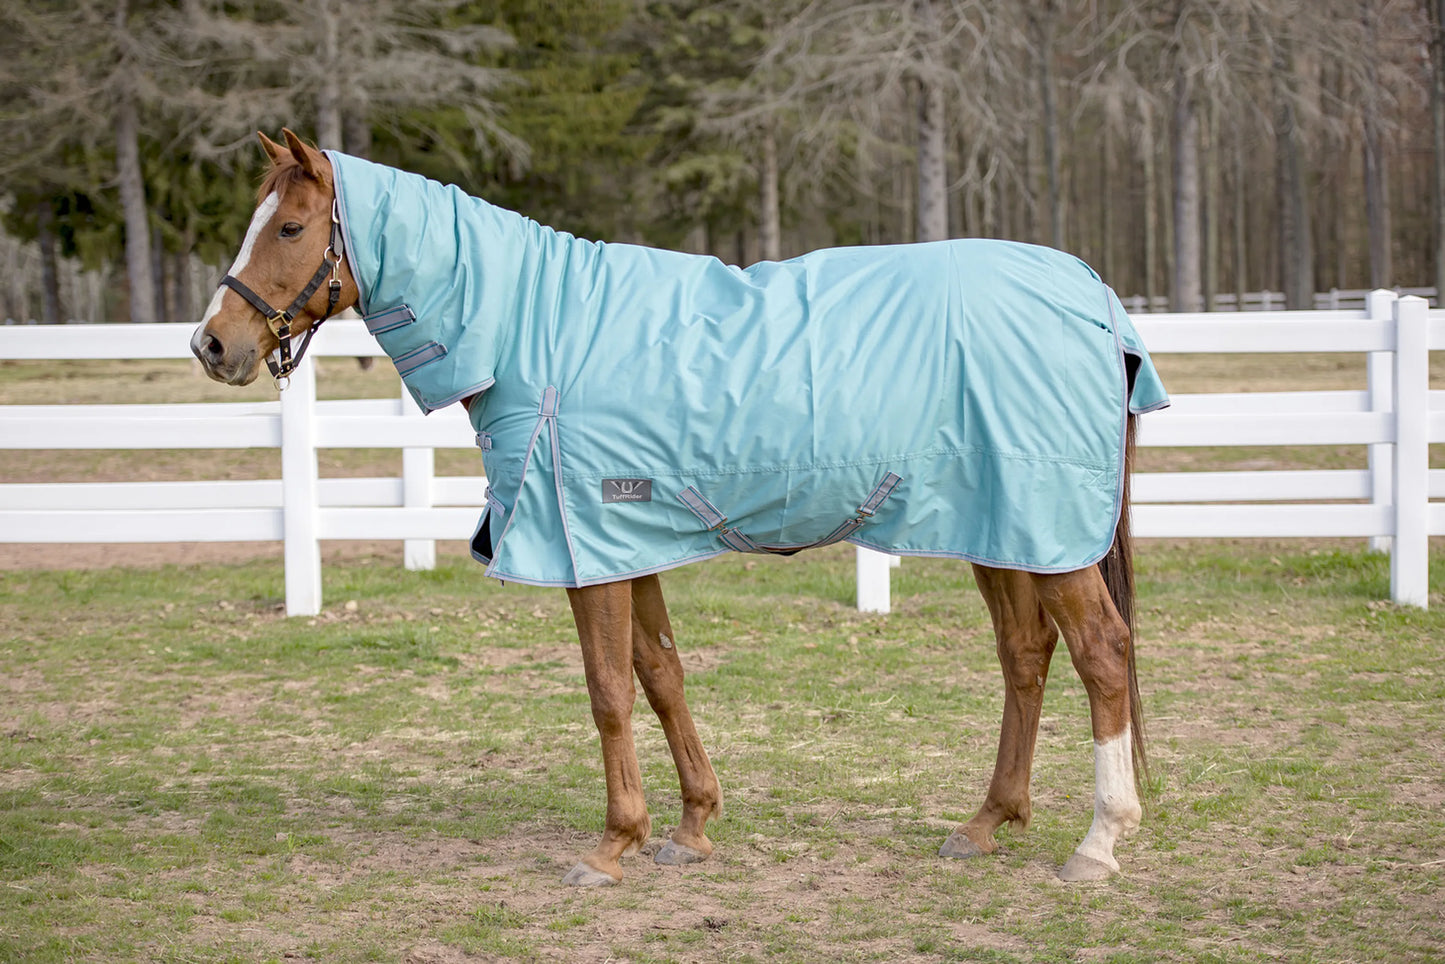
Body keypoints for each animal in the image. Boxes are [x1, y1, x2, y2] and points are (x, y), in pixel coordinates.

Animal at [191, 129, 1169, 886]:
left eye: (289, 226)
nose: (212, 345)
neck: (538, 333)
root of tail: (1092, 294)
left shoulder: (583, 546)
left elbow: (607, 693)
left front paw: (613, 844)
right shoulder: (626, 545)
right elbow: (660, 675)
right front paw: (692, 827)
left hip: (1044, 530)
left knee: (1100, 653)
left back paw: (1097, 843)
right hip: (1003, 532)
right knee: (1025, 657)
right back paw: (984, 824)